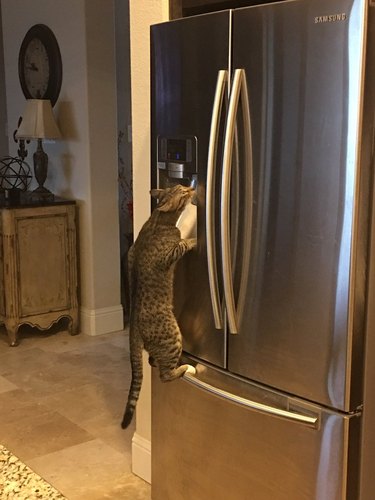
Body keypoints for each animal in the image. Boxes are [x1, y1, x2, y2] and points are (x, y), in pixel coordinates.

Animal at [122, 185, 198, 430]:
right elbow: (182, 244)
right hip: (172, 337)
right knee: (165, 375)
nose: (192, 187)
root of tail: (134, 331)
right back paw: (187, 369)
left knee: (152, 361)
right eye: (183, 192)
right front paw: (194, 240)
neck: (157, 219)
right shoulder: (169, 254)